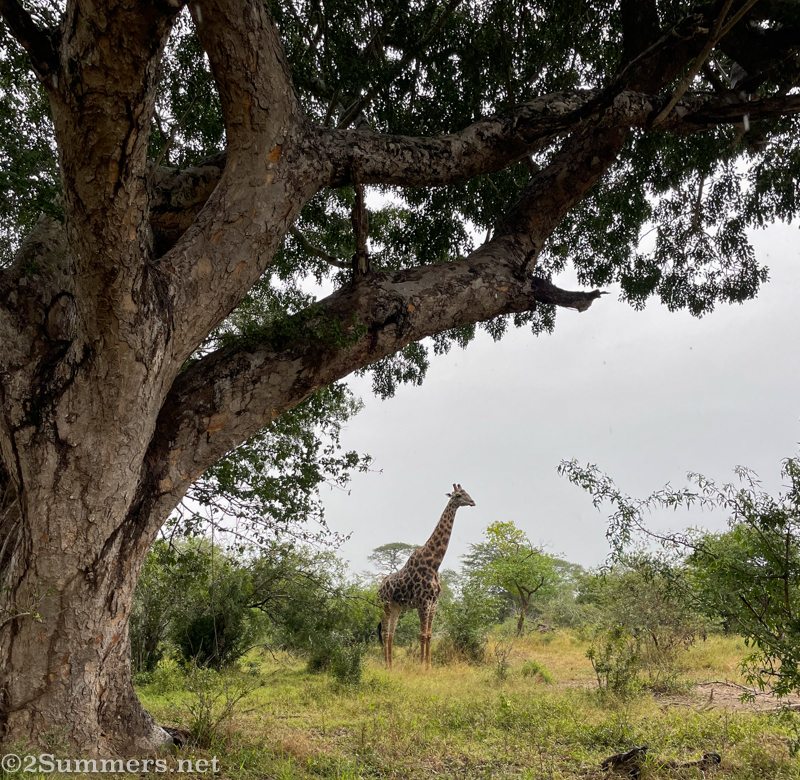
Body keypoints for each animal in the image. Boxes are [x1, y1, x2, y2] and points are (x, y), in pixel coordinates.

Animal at [377, 483, 476, 669]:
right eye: (458, 495)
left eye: (466, 493)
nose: (472, 502)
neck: (434, 563)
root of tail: (377, 589)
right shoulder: (423, 601)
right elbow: (422, 634)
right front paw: (422, 666)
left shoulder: (434, 601)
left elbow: (429, 634)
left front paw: (429, 666)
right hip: (384, 606)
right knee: (385, 634)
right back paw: (386, 666)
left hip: (396, 607)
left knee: (391, 634)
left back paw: (392, 665)